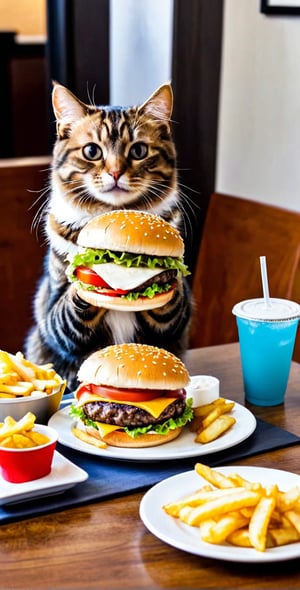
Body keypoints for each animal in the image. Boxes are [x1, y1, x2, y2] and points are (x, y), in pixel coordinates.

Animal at [24, 82, 192, 394]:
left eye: (139, 150)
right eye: (92, 151)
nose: (115, 172)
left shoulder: (175, 324)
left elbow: (172, 309)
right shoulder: (53, 316)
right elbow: (66, 315)